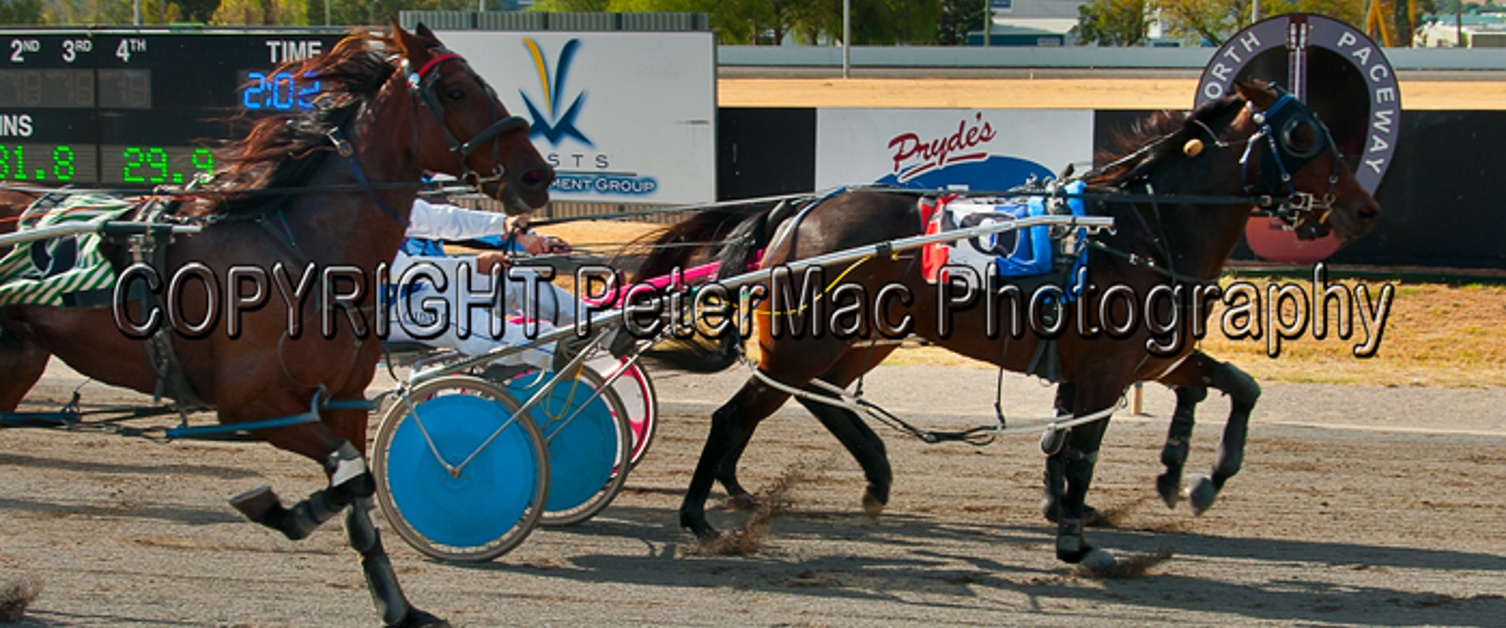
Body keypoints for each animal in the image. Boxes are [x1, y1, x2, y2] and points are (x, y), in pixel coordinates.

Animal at [0, 22, 554, 623]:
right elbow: (349, 475)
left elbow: (358, 493)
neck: (301, 254)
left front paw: (398, 607)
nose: (537, 174)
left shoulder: (343, 400)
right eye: (455, 91)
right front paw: (280, 510)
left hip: (19, 362)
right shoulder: (252, 405)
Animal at [632, 80, 1379, 566]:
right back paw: (700, 518)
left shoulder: (1146, 358)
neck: (1140, 230)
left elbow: (1234, 388)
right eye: (1303, 133)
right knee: (736, 415)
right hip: (807, 342)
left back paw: (867, 476)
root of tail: (799, 212)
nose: (1363, 208)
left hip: (853, 341)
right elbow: (1081, 449)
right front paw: (1077, 540)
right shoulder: (1107, 368)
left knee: (815, 402)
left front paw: (1192, 479)